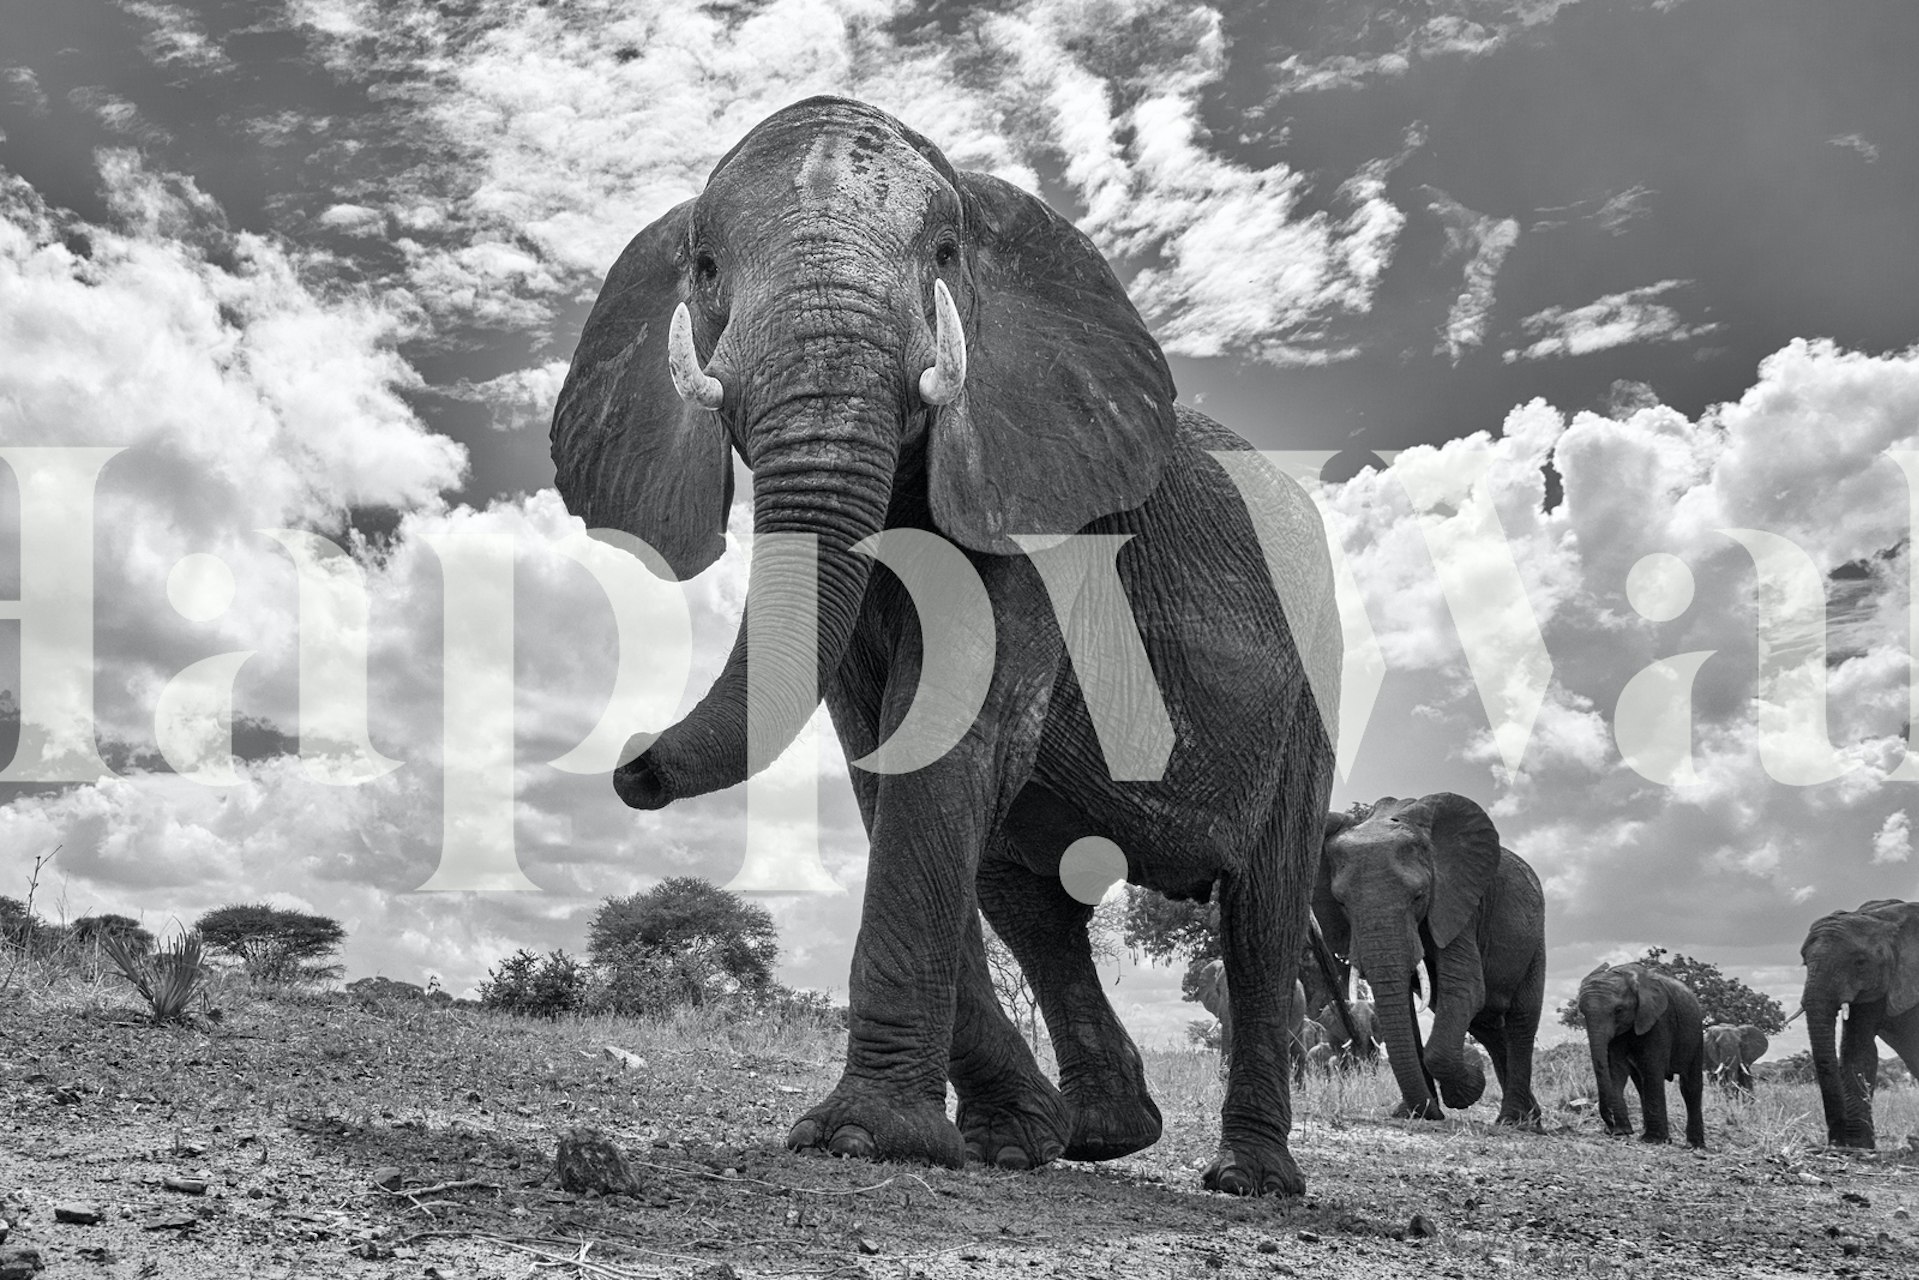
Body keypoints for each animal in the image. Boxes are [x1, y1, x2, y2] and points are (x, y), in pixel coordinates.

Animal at [552, 97, 1341, 1196]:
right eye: (703, 268)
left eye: (944, 254)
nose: (631, 768)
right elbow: (882, 769)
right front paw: (1005, 1137)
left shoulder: (1042, 515)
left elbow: (941, 743)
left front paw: (861, 1138)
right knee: (1029, 897)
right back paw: (1100, 1135)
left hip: (1311, 684)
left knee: (1263, 909)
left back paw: (1246, 1181)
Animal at [1315, 793, 1546, 1125]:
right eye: (1342, 903)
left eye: (1419, 896)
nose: (1424, 1111)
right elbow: (1404, 1007)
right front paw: (1417, 1112)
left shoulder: (1458, 904)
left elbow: (1465, 987)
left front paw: (1467, 1089)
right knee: (1488, 1027)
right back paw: (1529, 1116)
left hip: (1534, 940)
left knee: (1521, 1020)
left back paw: (1515, 1120)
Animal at [1577, 961, 1706, 1148]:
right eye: (1582, 1012)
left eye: (1618, 1010)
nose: (1609, 1127)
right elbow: (1615, 1069)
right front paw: (1622, 1132)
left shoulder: (1659, 1019)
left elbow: (1652, 1068)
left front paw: (1653, 1140)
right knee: (1640, 1083)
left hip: (1696, 1033)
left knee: (1690, 1086)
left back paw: (1694, 1145)